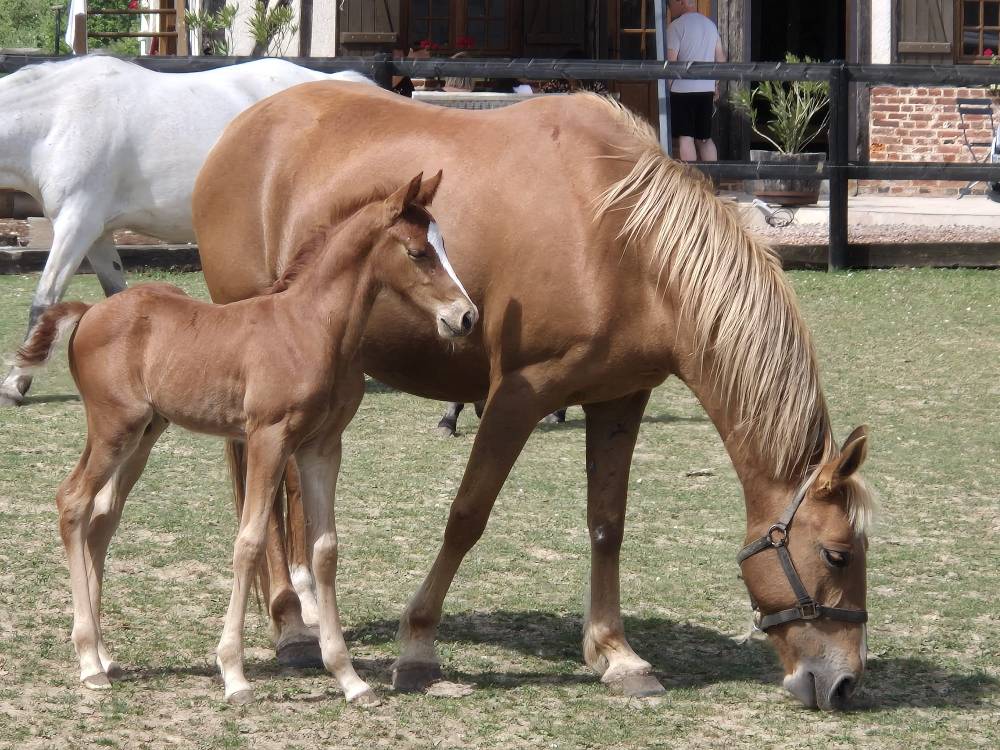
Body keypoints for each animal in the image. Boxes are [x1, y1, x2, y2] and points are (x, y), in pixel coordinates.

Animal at [0, 55, 370, 406]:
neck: (61, 117)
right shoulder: (98, 234)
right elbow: (116, 294)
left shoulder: (76, 224)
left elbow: (43, 301)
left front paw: (14, 383)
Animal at [15, 172, 477, 705]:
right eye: (419, 252)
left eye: (444, 246)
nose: (467, 317)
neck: (312, 328)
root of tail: (90, 311)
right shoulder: (267, 438)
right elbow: (250, 541)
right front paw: (234, 674)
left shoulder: (323, 447)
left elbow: (325, 548)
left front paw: (349, 678)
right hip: (114, 427)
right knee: (73, 502)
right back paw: (89, 661)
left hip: (144, 434)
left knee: (102, 518)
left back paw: (104, 655)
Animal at [193, 81, 874, 710]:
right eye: (838, 555)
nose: (843, 683)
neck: (619, 238)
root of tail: (240, 129)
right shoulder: (519, 393)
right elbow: (467, 515)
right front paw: (418, 645)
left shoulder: (620, 399)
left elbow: (607, 524)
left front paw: (616, 654)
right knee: (262, 493)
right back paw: (289, 627)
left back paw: (304, 615)